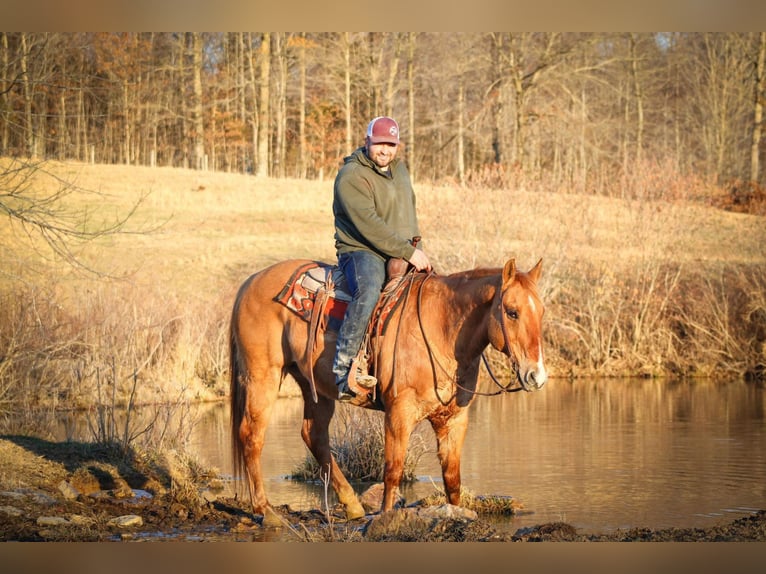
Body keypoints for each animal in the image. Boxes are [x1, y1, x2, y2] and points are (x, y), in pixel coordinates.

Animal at [228, 258, 544, 528]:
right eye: (512, 312)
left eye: (540, 312)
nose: (536, 376)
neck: (441, 330)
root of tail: (251, 283)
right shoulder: (398, 413)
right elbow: (393, 470)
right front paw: (387, 518)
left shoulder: (454, 419)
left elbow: (452, 479)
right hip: (262, 377)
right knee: (252, 436)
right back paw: (265, 511)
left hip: (312, 384)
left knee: (313, 435)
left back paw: (352, 506)